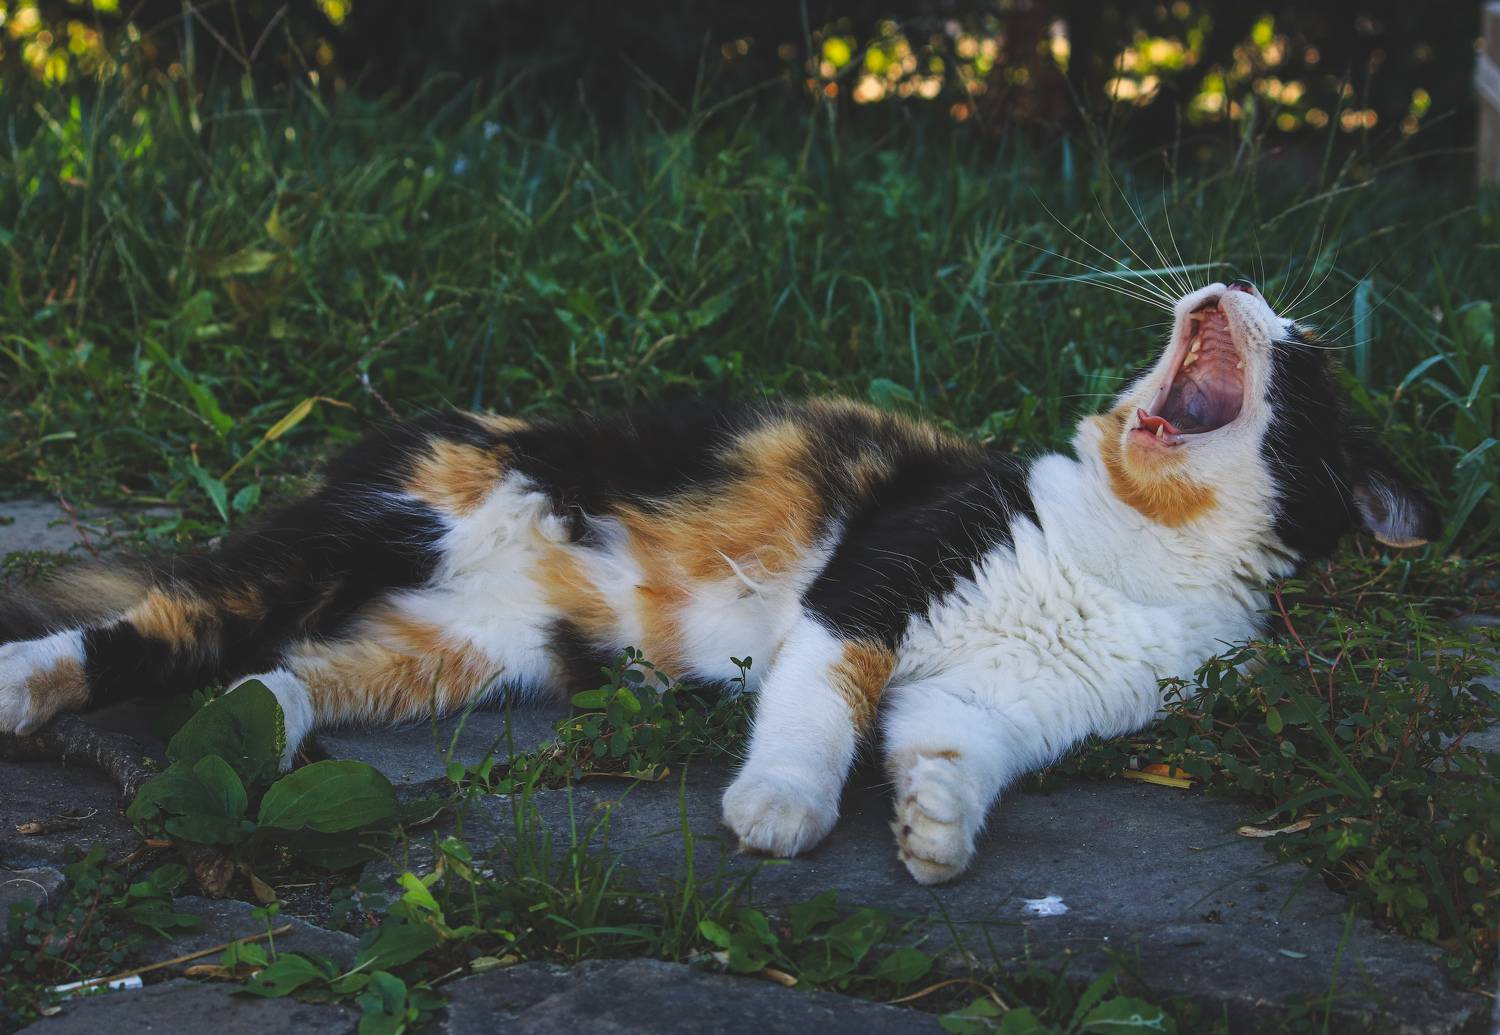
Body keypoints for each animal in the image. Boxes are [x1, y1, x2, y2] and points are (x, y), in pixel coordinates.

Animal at [0, 279, 1438, 884]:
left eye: (1303, 343)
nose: (1225, 281)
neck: (1124, 551)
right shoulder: (879, 570)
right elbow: (823, 699)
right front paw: (783, 806)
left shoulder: (1027, 698)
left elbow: (951, 741)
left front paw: (933, 829)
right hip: (372, 524)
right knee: (169, 619)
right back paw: (23, 683)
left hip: (461, 652)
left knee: (280, 669)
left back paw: (257, 726)